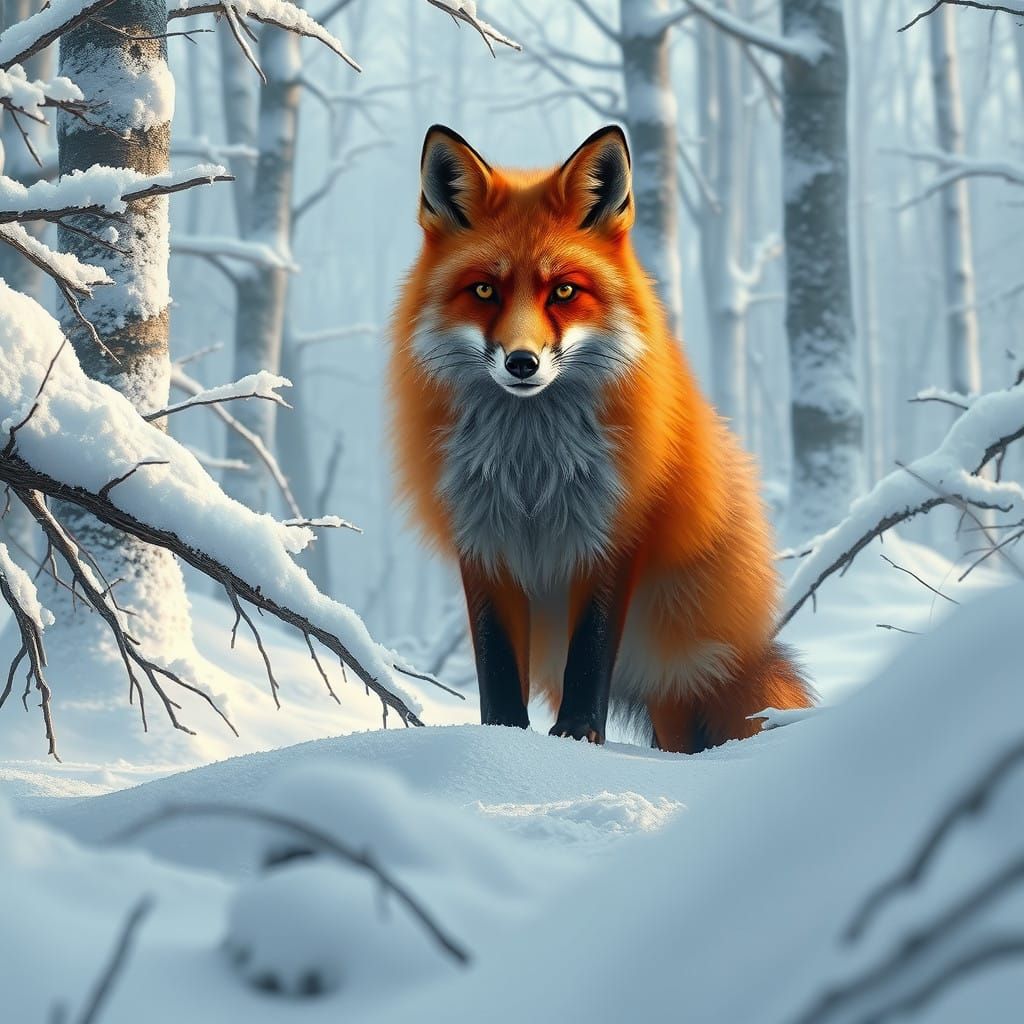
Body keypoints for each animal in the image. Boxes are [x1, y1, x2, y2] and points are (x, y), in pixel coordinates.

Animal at [389, 124, 812, 753]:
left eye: (564, 292)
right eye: (485, 291)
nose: (521, 362)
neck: (531, 466)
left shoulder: (614, 532)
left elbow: (589, 653)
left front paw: (578, 734)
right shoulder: (482, 537)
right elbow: (496, 660)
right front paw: (503, 736)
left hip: (677, 672)